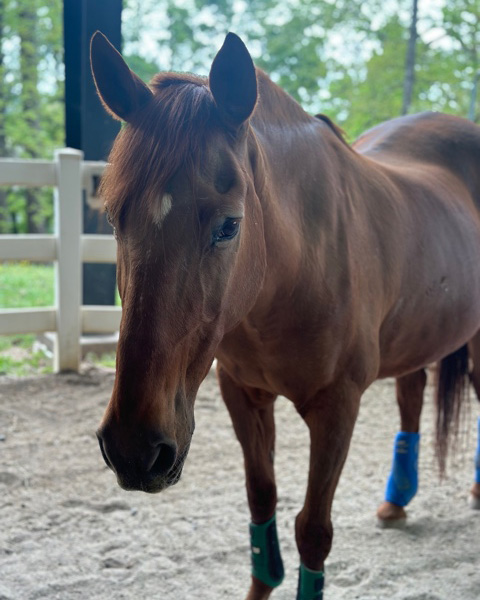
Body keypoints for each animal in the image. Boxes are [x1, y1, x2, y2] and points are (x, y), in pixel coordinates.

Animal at [92, 32, 480, 600]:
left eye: (229, 225)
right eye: (114, 218)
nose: (133, 448)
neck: (295, 271)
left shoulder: (337, 409)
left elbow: (313, 531)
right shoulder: (244, 396)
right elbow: (262, 503)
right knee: (412, 395)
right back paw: (396, 499)